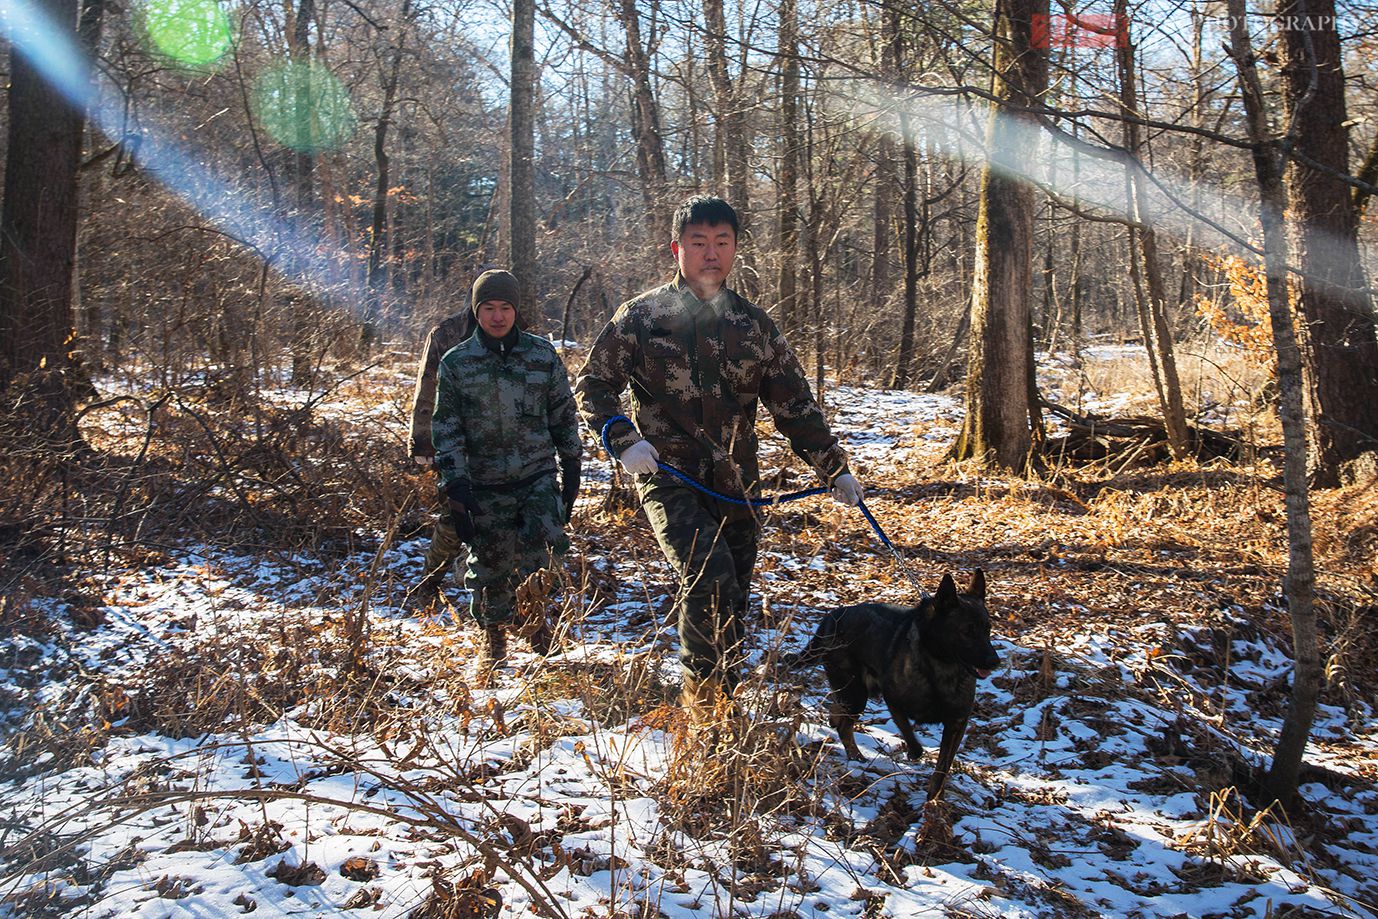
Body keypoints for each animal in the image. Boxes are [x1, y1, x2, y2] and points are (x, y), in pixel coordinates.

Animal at [793, 570, 997, 799]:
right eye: (967, 631)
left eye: (988, 629)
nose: (995, 661)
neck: (941, 668)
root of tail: (832, 616)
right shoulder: (894, 702)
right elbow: (914, 742)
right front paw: (914, 755)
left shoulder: (956, 724)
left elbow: (943, 767)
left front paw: (934, 798)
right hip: (855, 694)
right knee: (845, 724)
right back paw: (855, 756)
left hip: (855, 693)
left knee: (839, 713)